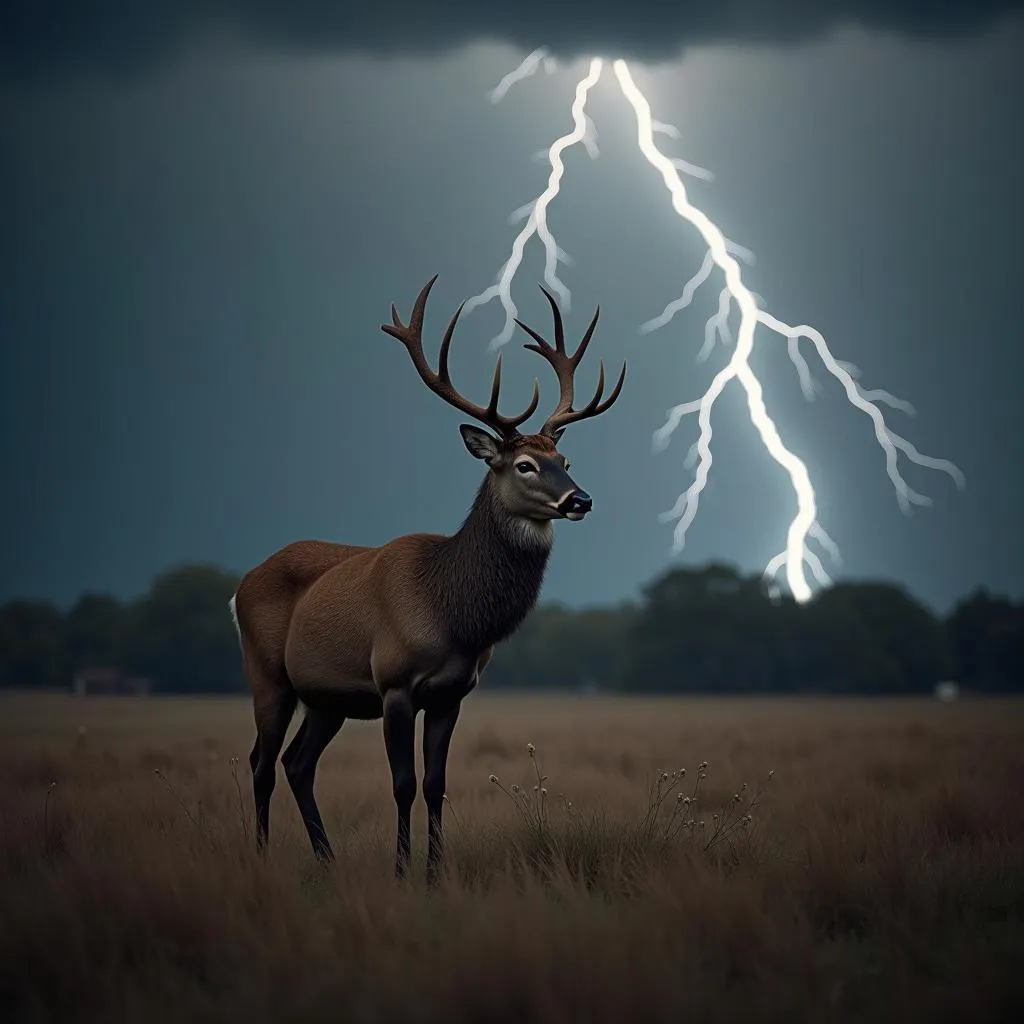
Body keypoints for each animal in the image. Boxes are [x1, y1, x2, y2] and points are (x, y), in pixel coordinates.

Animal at [230, 276, 622, 884]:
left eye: (566, 459)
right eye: (524, 465)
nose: (579, 500)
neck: (449, 613)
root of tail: (241, 584)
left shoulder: (451, 694)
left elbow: (436, 784)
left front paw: (436, 873)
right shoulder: (393, 682)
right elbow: (402, 784)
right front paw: (400, 870)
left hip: (326, 698)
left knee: (298, 764)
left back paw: (327, 858)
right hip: (267, 672)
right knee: (261, 761)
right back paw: (263, 854)